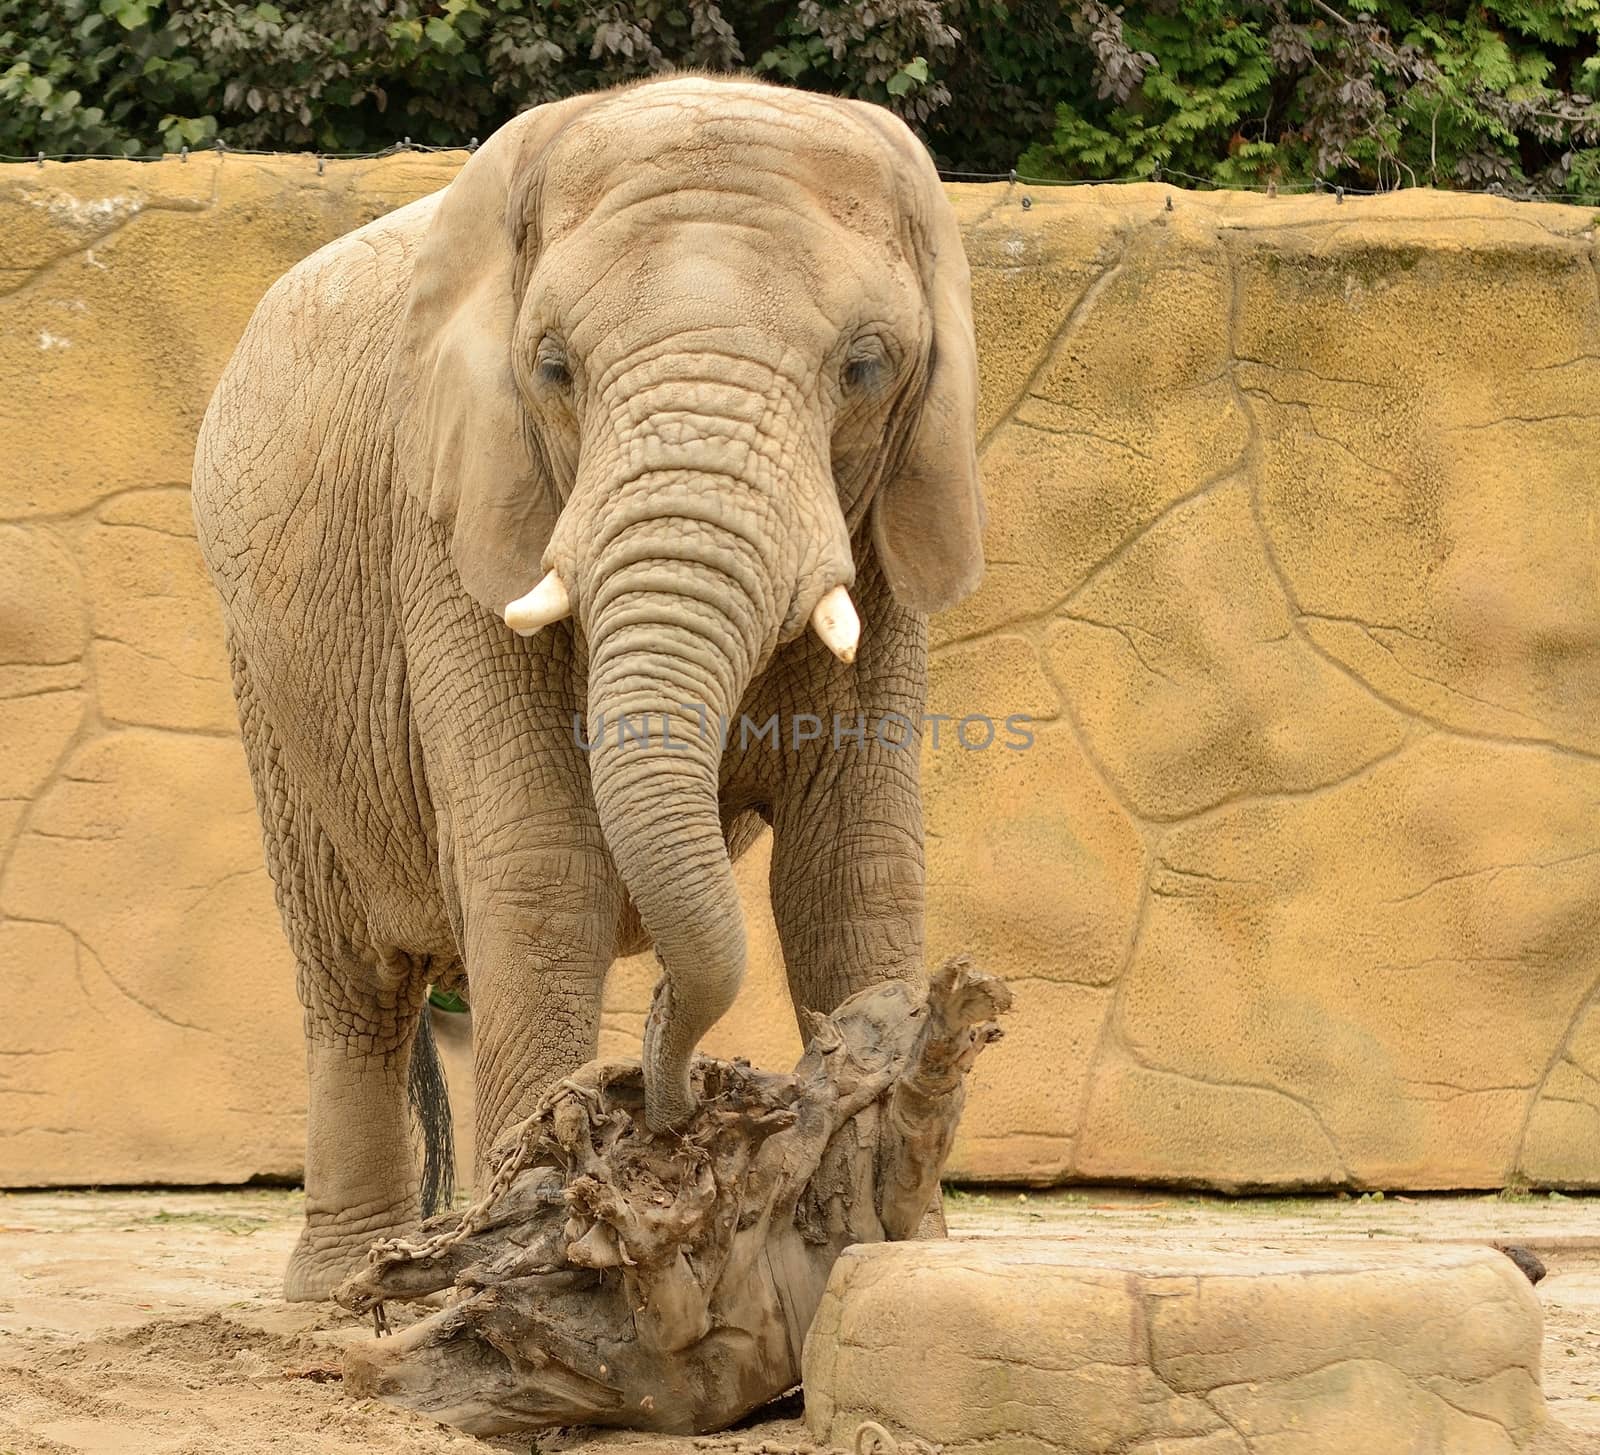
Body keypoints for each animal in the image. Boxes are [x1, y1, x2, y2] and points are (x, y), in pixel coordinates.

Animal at [192, 70, 979, 1293]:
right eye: (555, 367)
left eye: (865, 366)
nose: (671, 1093)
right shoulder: (455, 509)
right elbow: (539, 860)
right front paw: (531, 1259)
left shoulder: (890, 527)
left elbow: (853, 865)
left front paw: (885, 1245)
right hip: (270, 678)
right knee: (354, 981)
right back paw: (338, 1286)